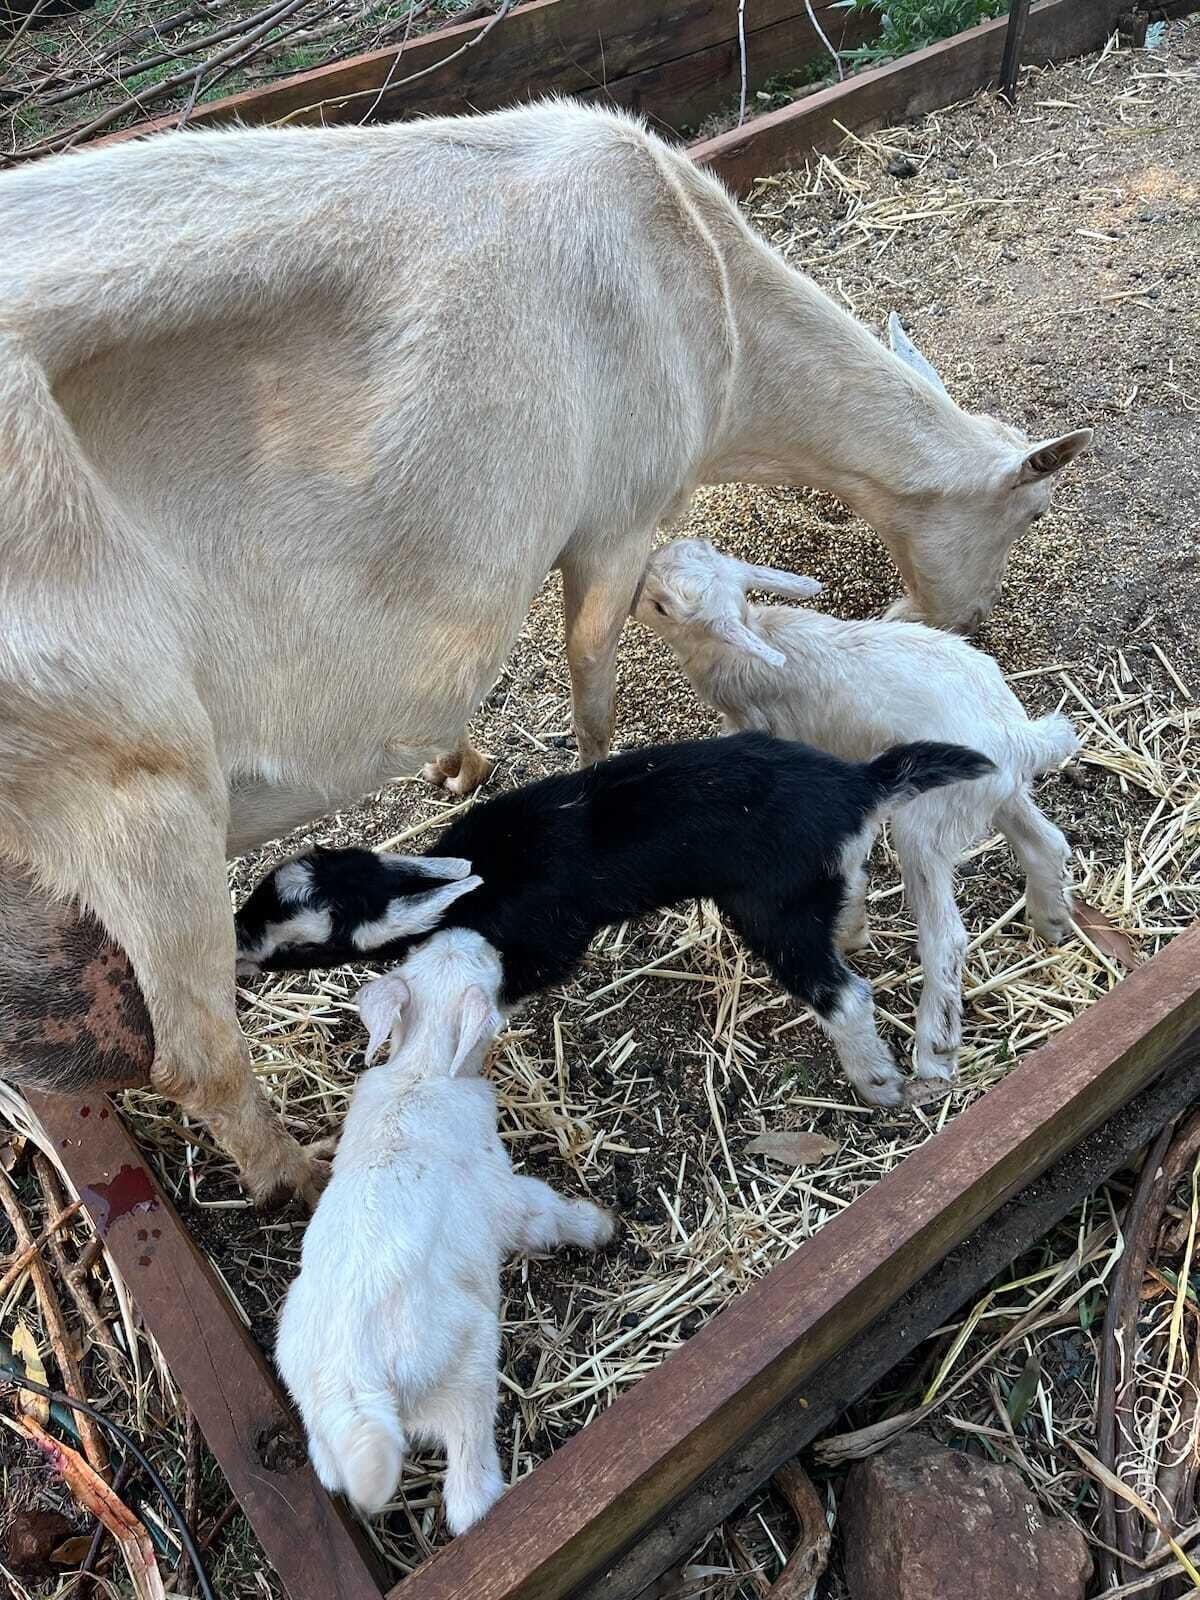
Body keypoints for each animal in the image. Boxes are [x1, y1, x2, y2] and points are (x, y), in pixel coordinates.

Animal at [237, 733, 996, 1106]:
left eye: (303, 948)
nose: (238, 946)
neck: (479, 871)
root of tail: (859, 783)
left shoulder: (543, 942)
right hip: (818, 881)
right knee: (850, 897)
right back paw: (855, 930)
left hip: (771, 909)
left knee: (844, 995)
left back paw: (878, 1083)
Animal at [275, 926, 613, 1531]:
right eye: (493, 973)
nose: (480, 935)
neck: (423, 1072)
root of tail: (355, 1385)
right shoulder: (502, 1193)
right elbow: (543, 1214)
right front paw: (599, 1225)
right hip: (465, 1367)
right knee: (466, 1491)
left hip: (318, 1415)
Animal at [633, 538, 1080, 1082]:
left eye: (661, 606)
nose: (633, 589)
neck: (751, 635)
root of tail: (1020, 738)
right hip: (992, 793)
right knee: (1047, 845)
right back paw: (1052, 920)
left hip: (926, 826)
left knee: (947, 938)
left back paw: (934, 1049)